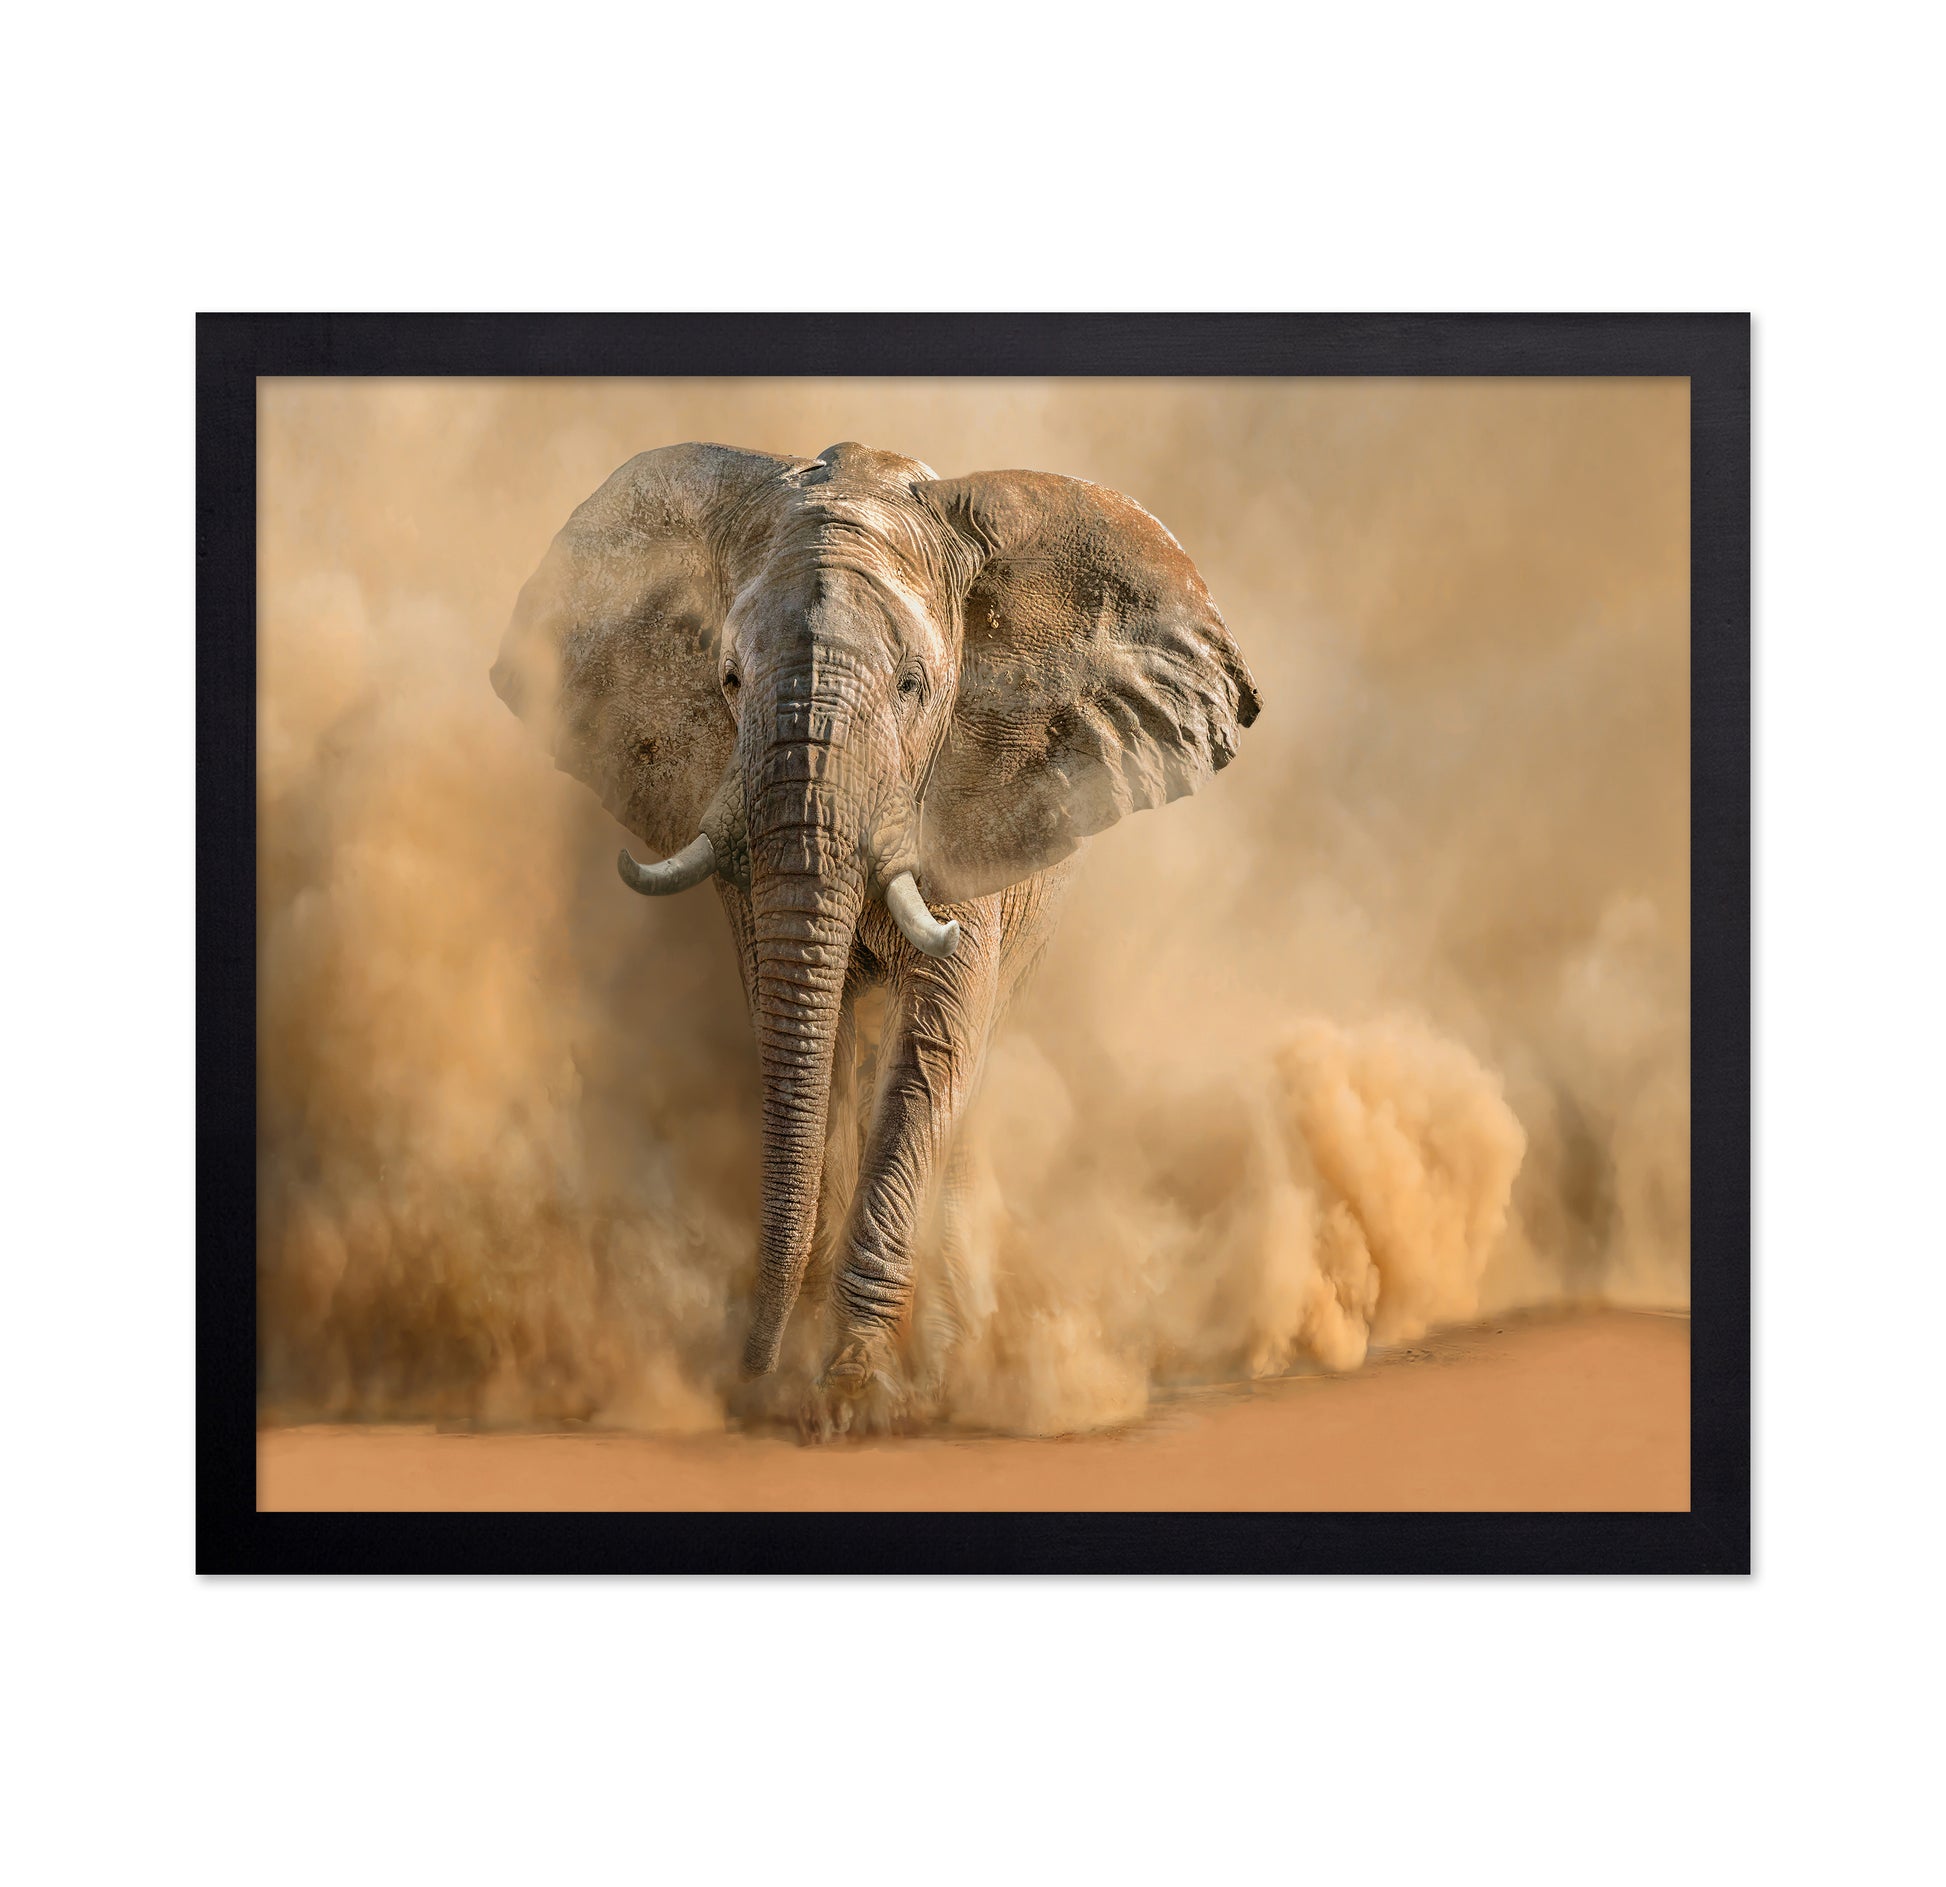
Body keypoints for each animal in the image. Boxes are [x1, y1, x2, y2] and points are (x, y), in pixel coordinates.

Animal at [491, 440, 1260, 1435]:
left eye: (911, 687)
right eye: (728, 679)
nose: (742, 1374)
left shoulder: (965, 802)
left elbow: (932, 1051)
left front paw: (850, 1399)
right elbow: (807, 1039)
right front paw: (803, 1383)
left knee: (967, 1072)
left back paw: (947, 1362)